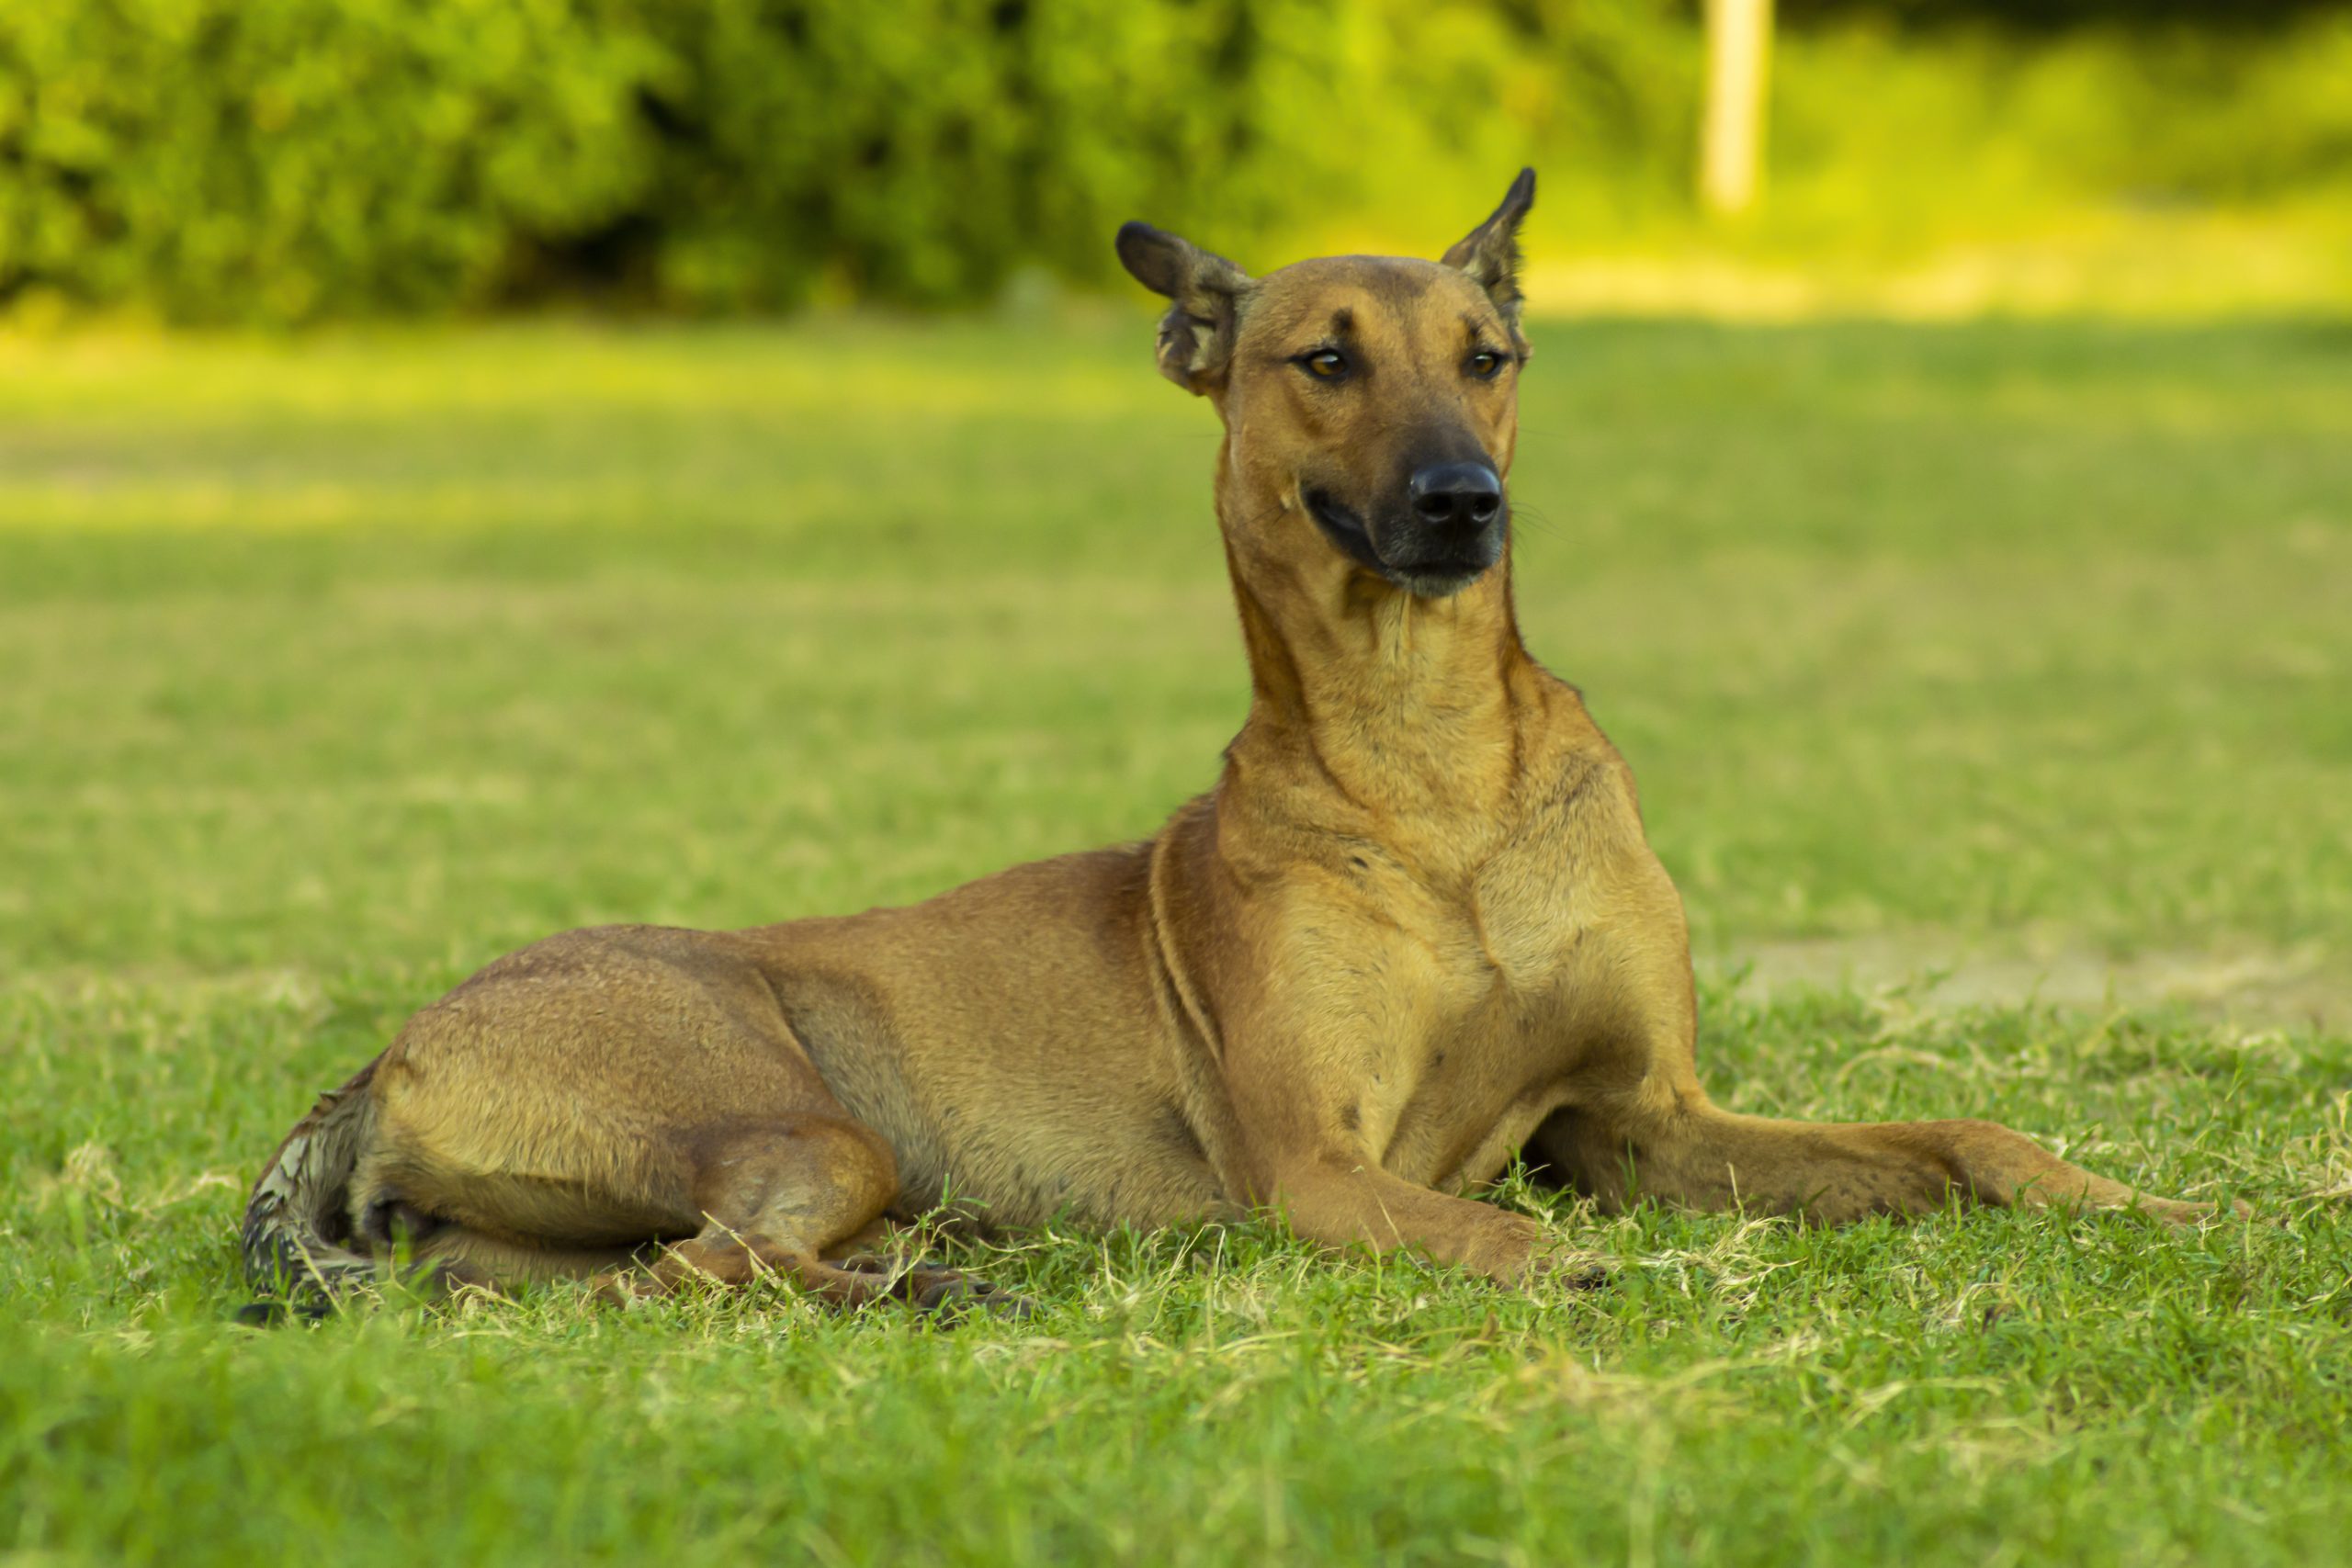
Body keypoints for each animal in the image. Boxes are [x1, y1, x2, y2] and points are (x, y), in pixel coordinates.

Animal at [243, 169, 2220, 1325]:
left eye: (1487, 352)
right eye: (1321, 359)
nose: (1463, 500)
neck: (1434, 775)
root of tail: (385, 1050)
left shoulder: (1646, 1117)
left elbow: (1960, 1132)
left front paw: (2140, 1196)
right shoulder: (1325, 1171)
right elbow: (1515, 1238)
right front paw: (1601, 1282)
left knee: (582, 1279)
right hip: (794, 1107)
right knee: (691, 1276)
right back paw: (936, 1288)